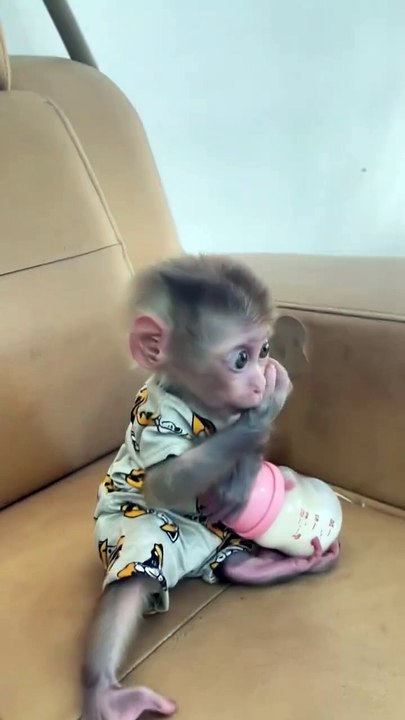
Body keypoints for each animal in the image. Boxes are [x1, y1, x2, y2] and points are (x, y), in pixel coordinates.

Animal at [82, 254, 293, 720]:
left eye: (264, 351)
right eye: (240, 359)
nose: (259, 380)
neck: (203, 405)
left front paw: (242, 476)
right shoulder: (157, 415)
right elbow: (165, 481)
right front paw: (265, 410)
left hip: (223, 539)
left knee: (231, 558)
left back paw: (260, 565)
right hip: (137, 531)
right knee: (135, 571)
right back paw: (104, 692)